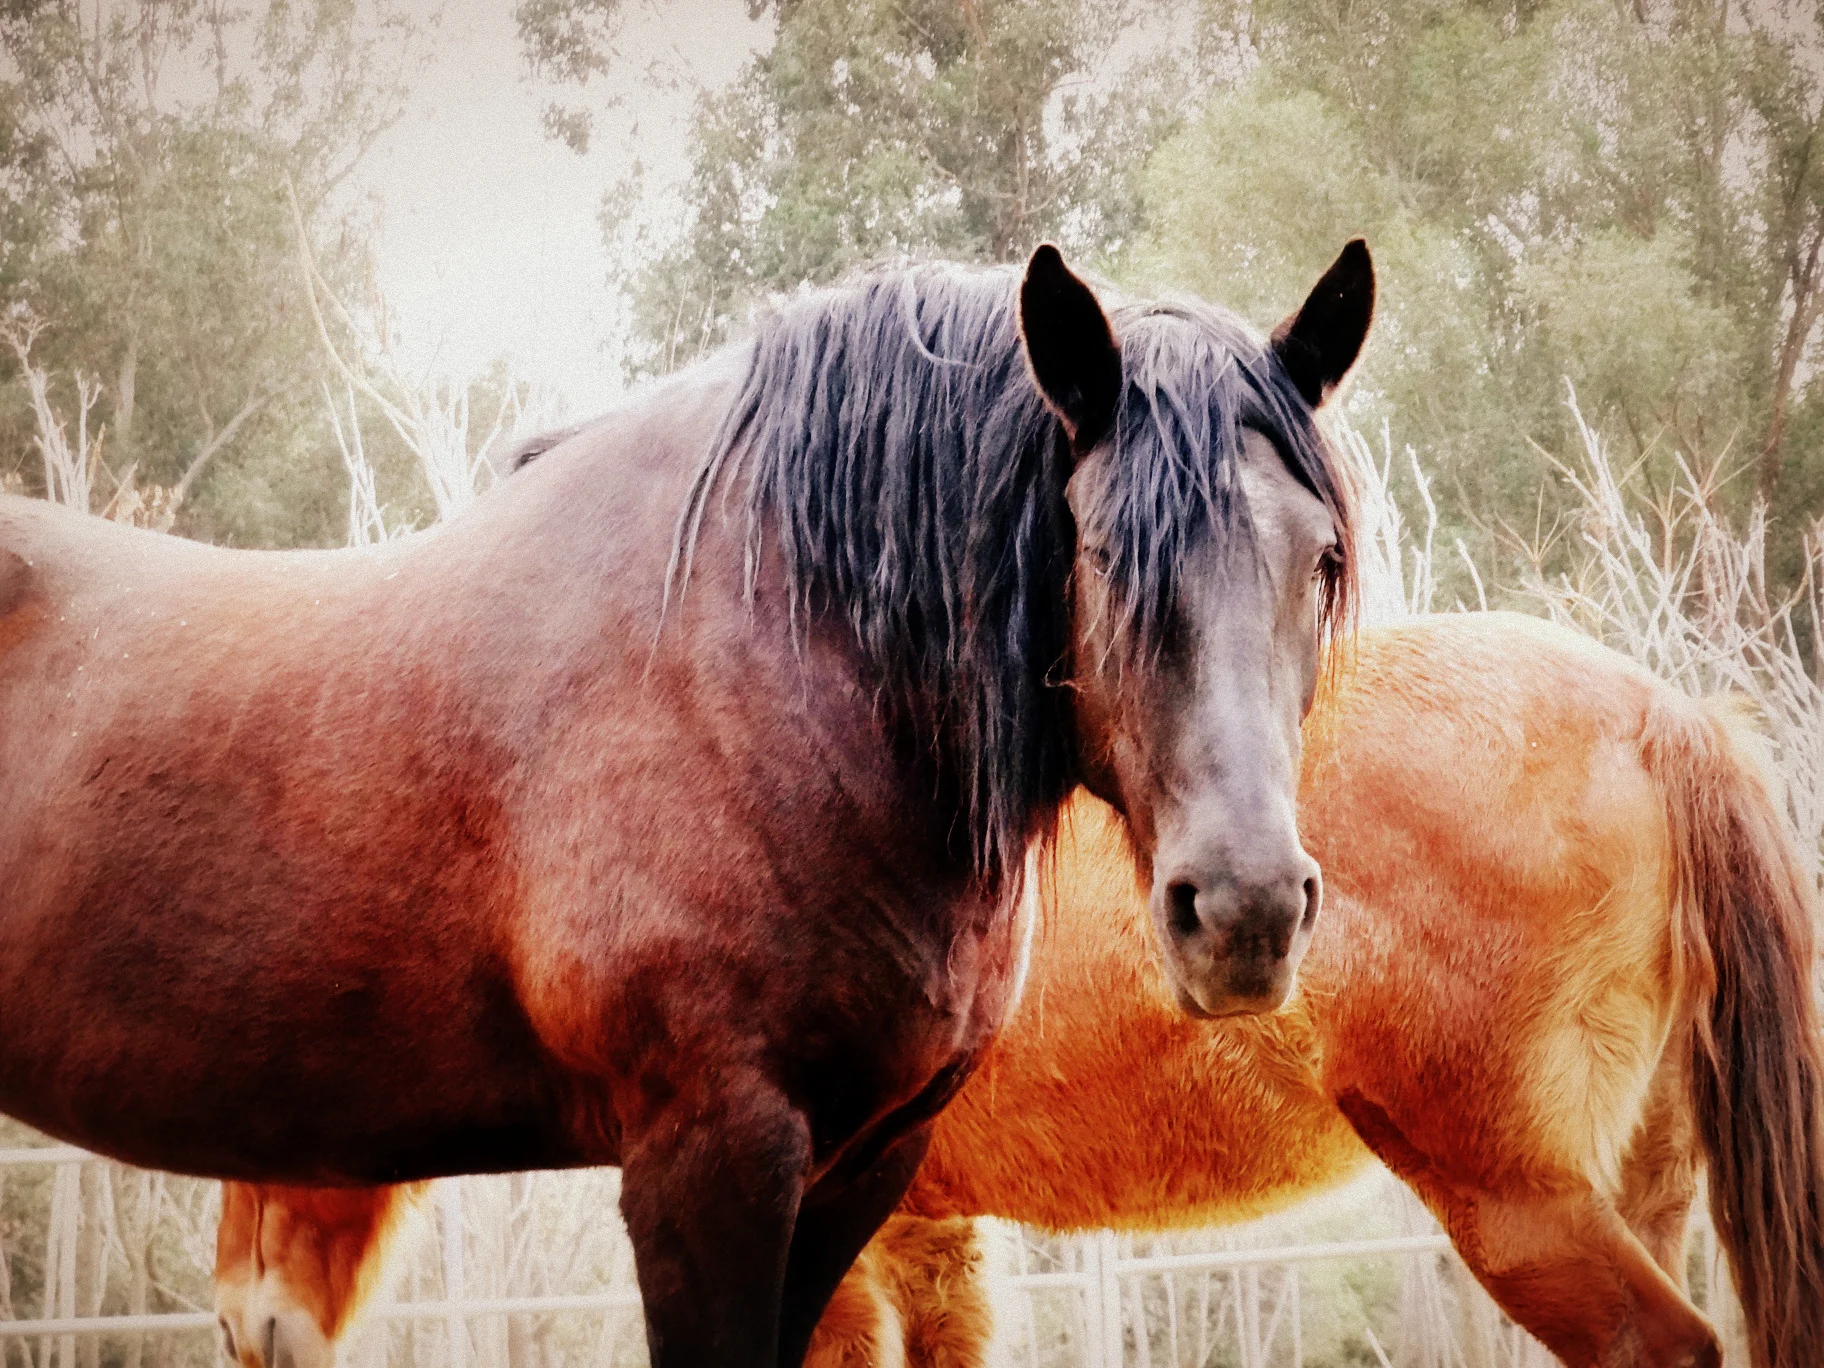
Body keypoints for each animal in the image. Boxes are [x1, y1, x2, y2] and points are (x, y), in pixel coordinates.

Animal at [0, 242, 1374, 1368]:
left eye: (1322, 560)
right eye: (1097, 550)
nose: (1246, 912)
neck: (777, 661)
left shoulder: (859, 1171)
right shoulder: (708, 1160)